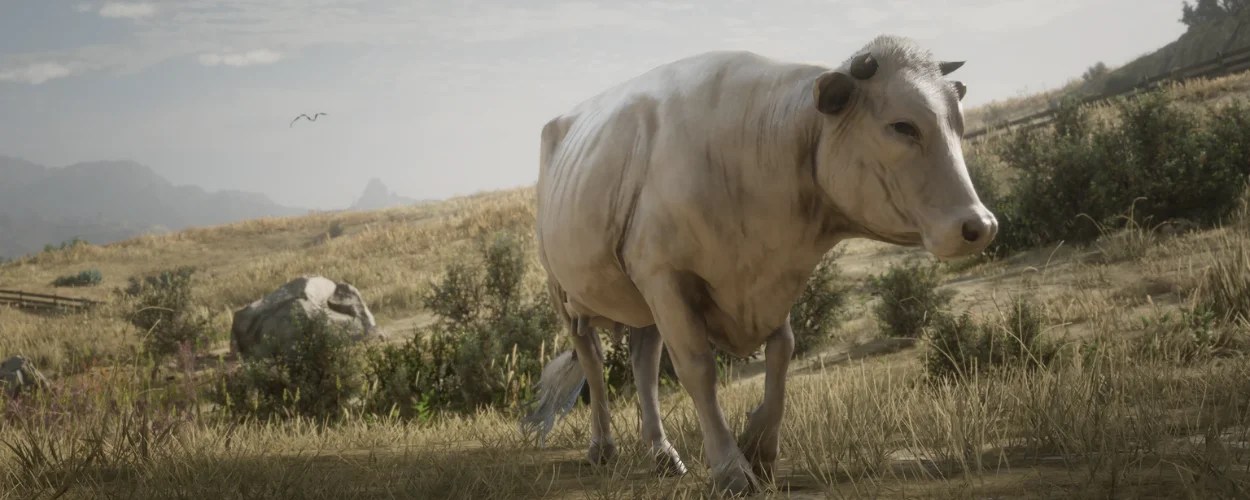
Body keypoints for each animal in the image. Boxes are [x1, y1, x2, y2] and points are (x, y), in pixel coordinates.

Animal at [521, 34, 996, 495]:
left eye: (958, 123)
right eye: (902, 126)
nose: (981, 225)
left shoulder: (773, 272)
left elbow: (782, 352)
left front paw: (760, 447)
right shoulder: (666, 277)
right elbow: (698, 368)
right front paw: (730, 467)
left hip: (641, 302)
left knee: (643, 363)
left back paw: (661, 453)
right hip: (565, 294)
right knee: (593, 360)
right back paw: (602, 447)